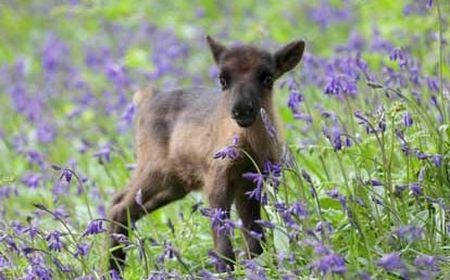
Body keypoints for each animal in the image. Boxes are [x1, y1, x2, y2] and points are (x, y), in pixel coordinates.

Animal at [108, 35, 306, 274]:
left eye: (267, 77)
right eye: (222, 80)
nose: (242, 110)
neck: (250, 148)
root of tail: (146, 99)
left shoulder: (251, 182)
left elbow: (254, 234)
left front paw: (258, 265)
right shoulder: (217, 178)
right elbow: (222, 235)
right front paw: (225, 269)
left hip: (172, 184)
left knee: (119, 201)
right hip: (155, 169)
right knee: (119, 208)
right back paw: (113, 268)